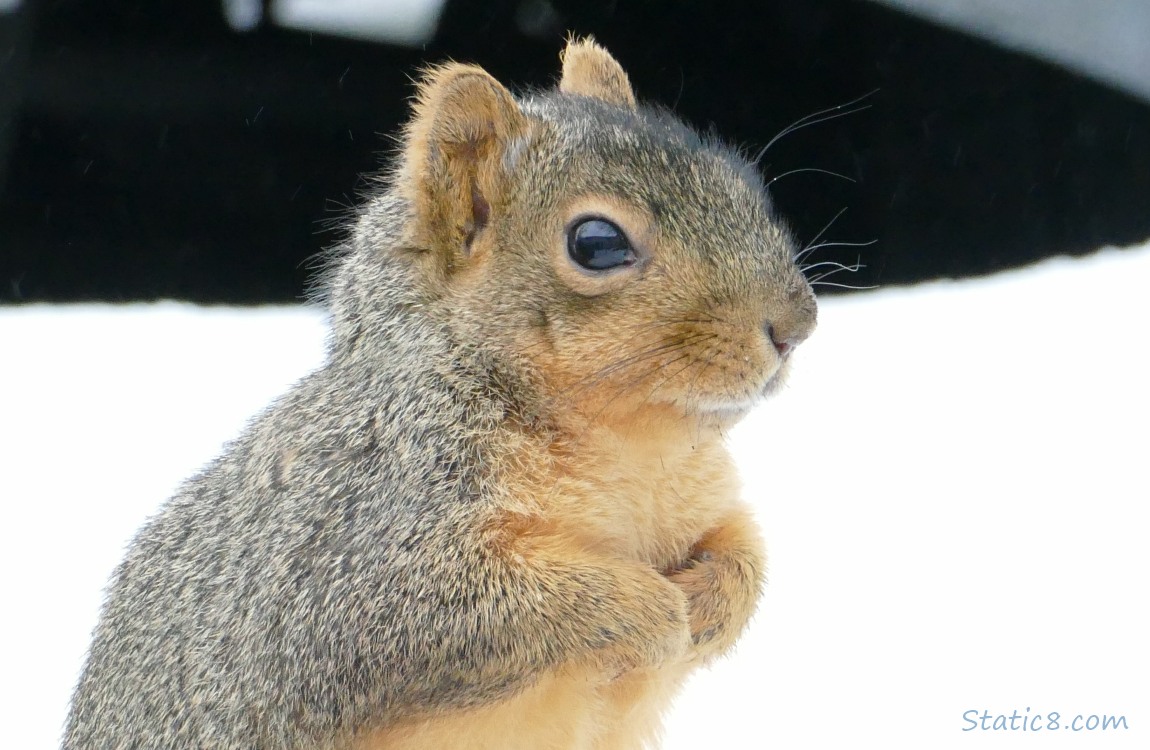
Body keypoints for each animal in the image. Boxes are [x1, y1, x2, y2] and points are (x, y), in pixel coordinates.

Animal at [60, 37, 818, 750]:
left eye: (738, 183)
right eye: (596, 243)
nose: (798, 324)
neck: (632, 446)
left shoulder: (704, 503)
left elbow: (745, 554)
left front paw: (712, 603)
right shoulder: (353, 551)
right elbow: (444, 613)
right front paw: (654, 611)